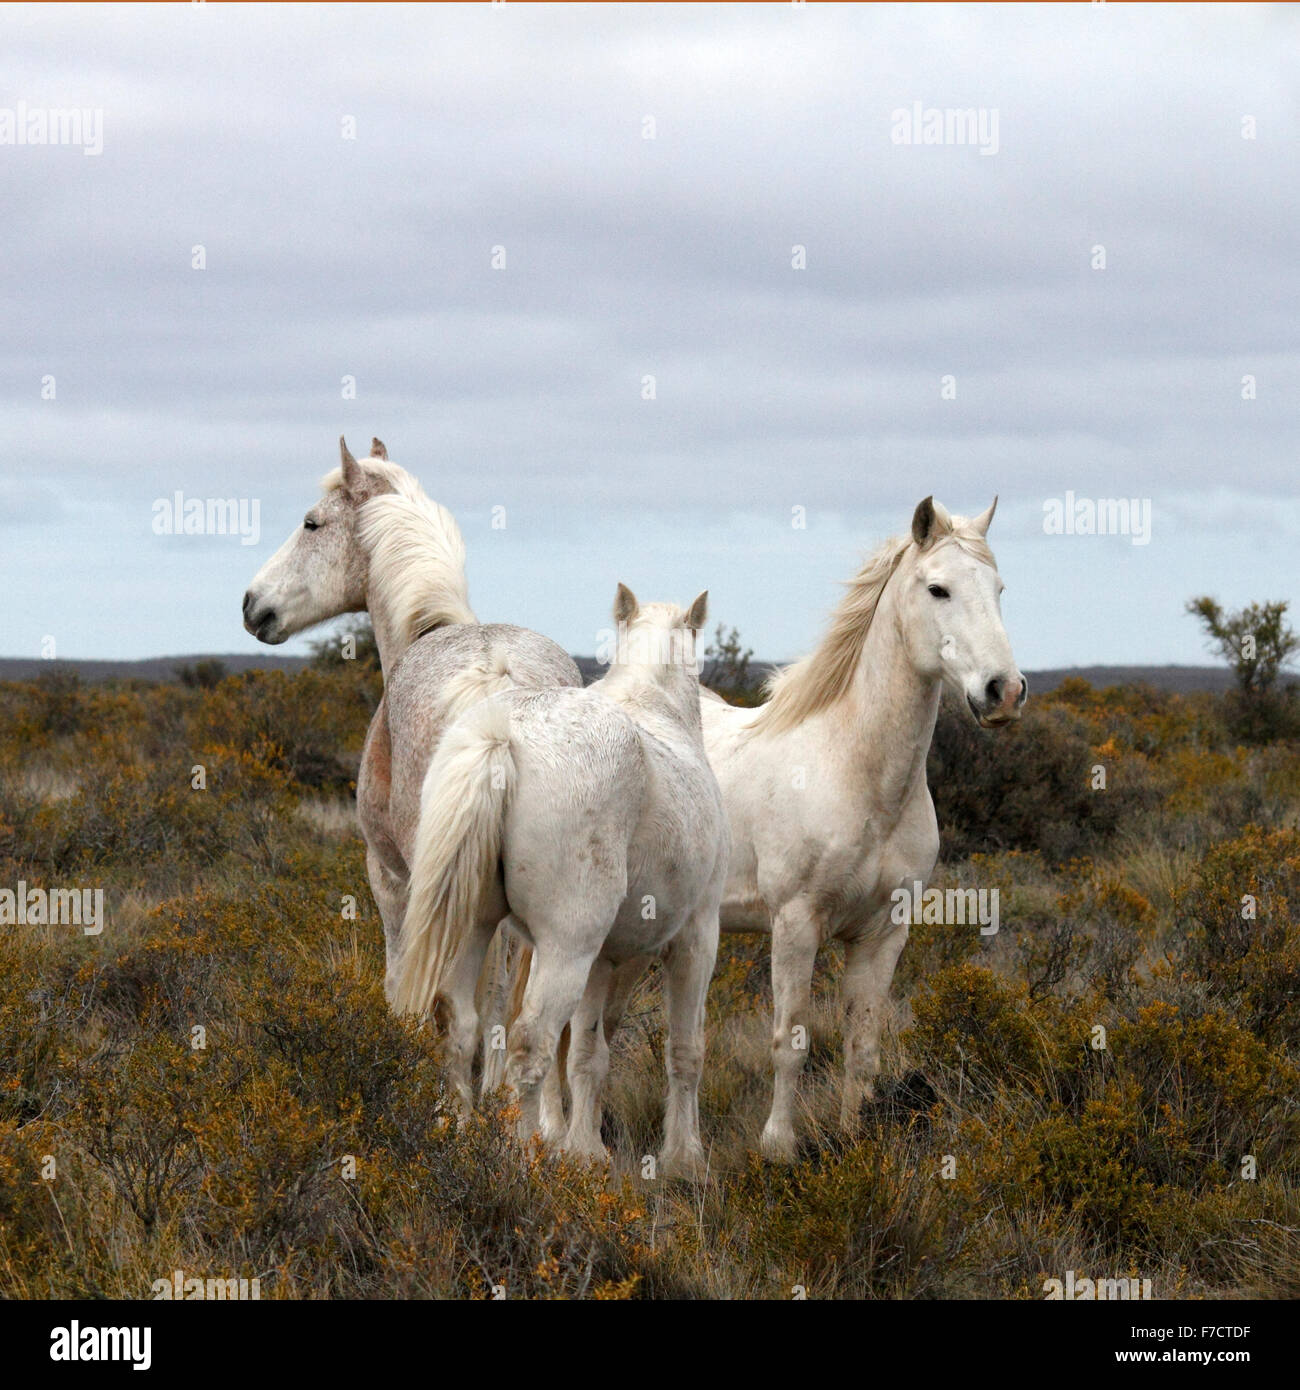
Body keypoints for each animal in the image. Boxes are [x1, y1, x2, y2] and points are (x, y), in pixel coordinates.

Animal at [392, 583, 728, 1173]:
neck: (657, 707)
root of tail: (503, 738)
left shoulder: (604, 957)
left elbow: (589, 1053)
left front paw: (585, 1150)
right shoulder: (695, 937)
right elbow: (685, 1050)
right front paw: (685, 1160)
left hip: (479, 929)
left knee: (459, 1024)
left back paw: (459, 1136)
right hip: (565, 947)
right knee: (530, 1042)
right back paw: (522, 1157)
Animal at [539, 500, 1028, 1162]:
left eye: (999, 589)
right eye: (938, 589)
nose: (1004, 691)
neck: (854, 769)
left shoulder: (883, 933)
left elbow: (861, 1047)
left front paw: (853, 1139)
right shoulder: (796, 922)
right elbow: (790, 1040)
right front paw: (778, 1146)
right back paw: (550, 1131)